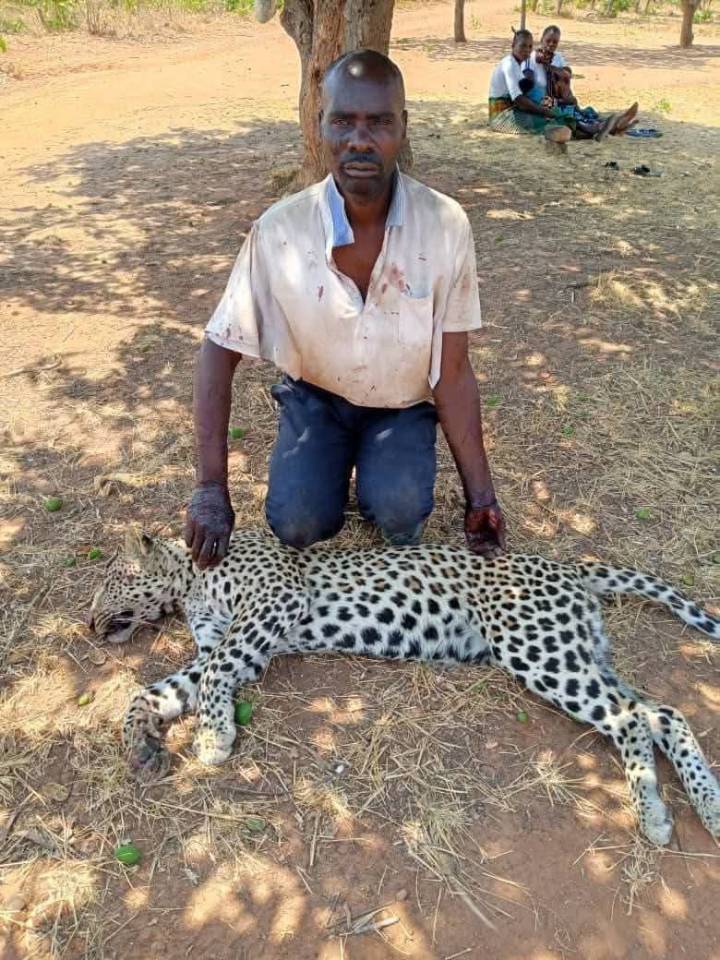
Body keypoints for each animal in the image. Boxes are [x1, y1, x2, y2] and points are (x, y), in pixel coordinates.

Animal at [87, 527, 720, 846]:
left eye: (111, 579)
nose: (87, 623)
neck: (191, 580)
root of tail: (565, 566)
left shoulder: (273, 603)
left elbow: (216, 671)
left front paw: (213, 739)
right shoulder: (231, 642)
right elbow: (156, 688)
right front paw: (141, 743)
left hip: (536, 648)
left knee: (632, 719)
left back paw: (654, 815)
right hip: (575, 649)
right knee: (662, 713)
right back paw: (708, 809)